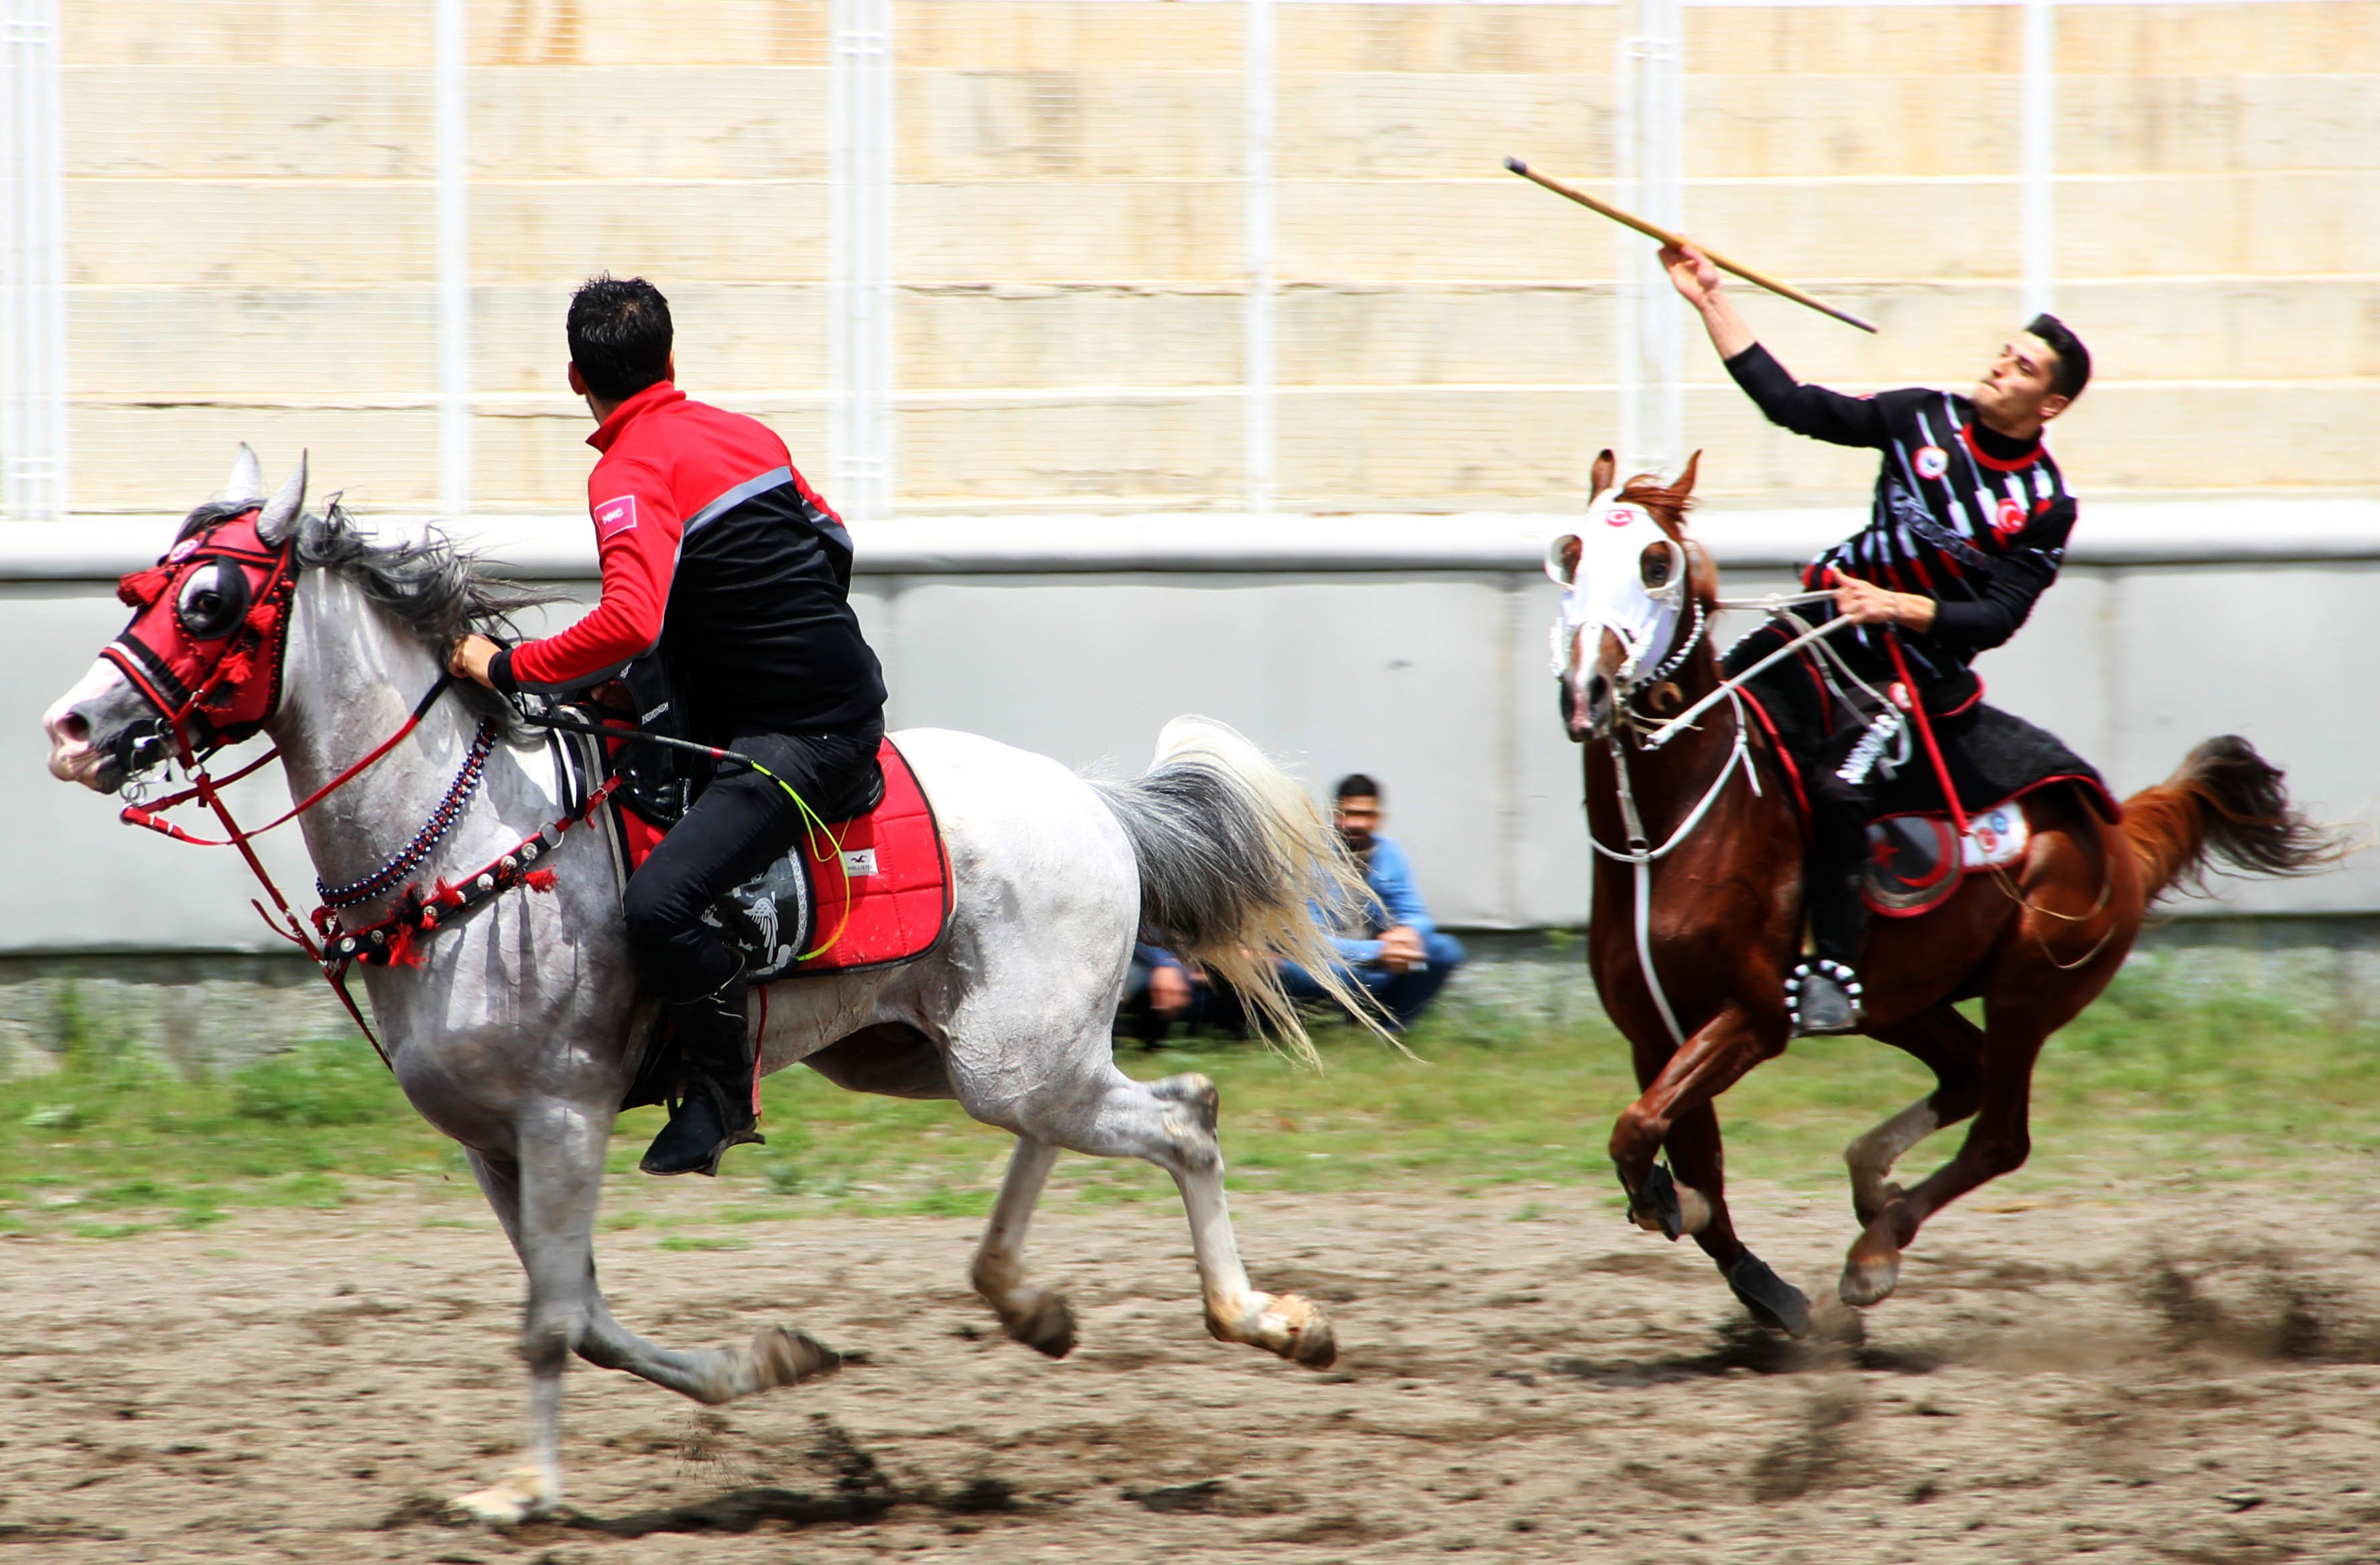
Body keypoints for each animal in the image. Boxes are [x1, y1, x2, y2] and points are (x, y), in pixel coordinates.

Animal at [37, 447, 1380, 1512]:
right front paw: (763, 1365)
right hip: (948, 1056)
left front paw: (526, 1493)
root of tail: (1097, 805)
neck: (470, 844)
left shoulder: (563, 1114)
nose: (71, 730)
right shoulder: (492, 1142)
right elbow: (582, 1314)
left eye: (210, 600)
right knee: (1103, 1124)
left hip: (1010, 1059)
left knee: (1185, 1123)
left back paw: (1267, 1320)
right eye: (142, 586)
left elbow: (554, 1321)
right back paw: (1026, 1302)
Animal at [1542, 447, 2342, 1332]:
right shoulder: (1653, 1031)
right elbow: (1682, 1156)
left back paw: (1875, 1251)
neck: (1671, 835)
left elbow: (1644, 1129)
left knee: (2002, 1132)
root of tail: (2119, 833)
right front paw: (1752, 1274)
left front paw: (1677, 1209)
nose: (1587, 691)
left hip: (2031, 984)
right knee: (1968, 1072)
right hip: (1903, 997)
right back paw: (1873, 1183)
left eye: (1656, 562)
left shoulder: (1750, 1016)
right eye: (1570, 552)